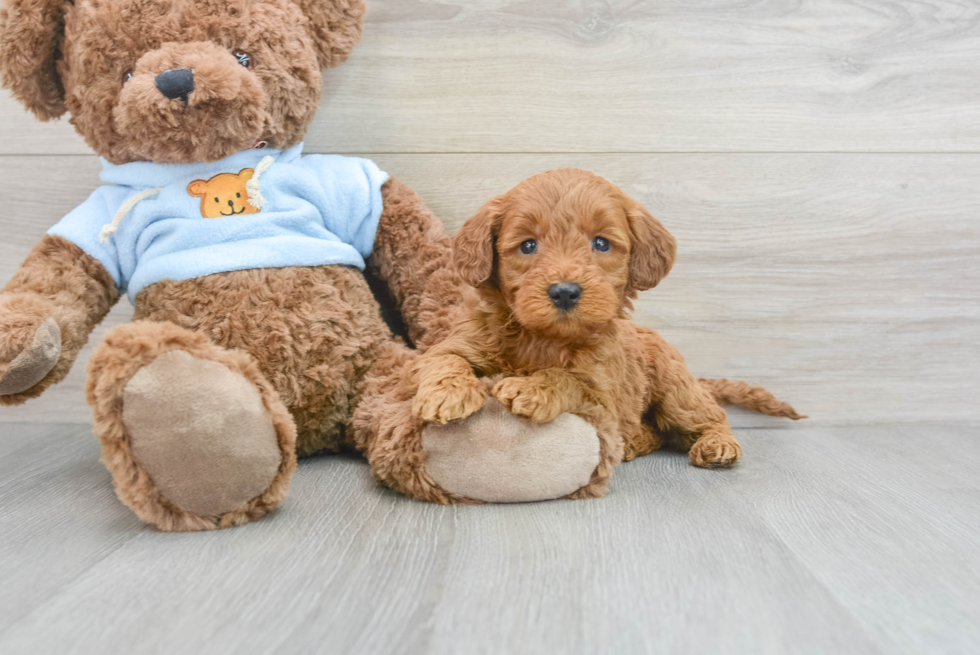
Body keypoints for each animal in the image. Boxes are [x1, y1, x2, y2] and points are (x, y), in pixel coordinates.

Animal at [410, 168, 800, 466]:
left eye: (600, 243)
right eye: (528, 245)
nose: (565, 291)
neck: (544, 338)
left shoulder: (604, 397)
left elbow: (568, 380)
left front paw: (531, 388)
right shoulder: (460, 342)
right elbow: (445, 359)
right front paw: (446, 394)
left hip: (677, 392)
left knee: (709, 417)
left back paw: (717, 444)